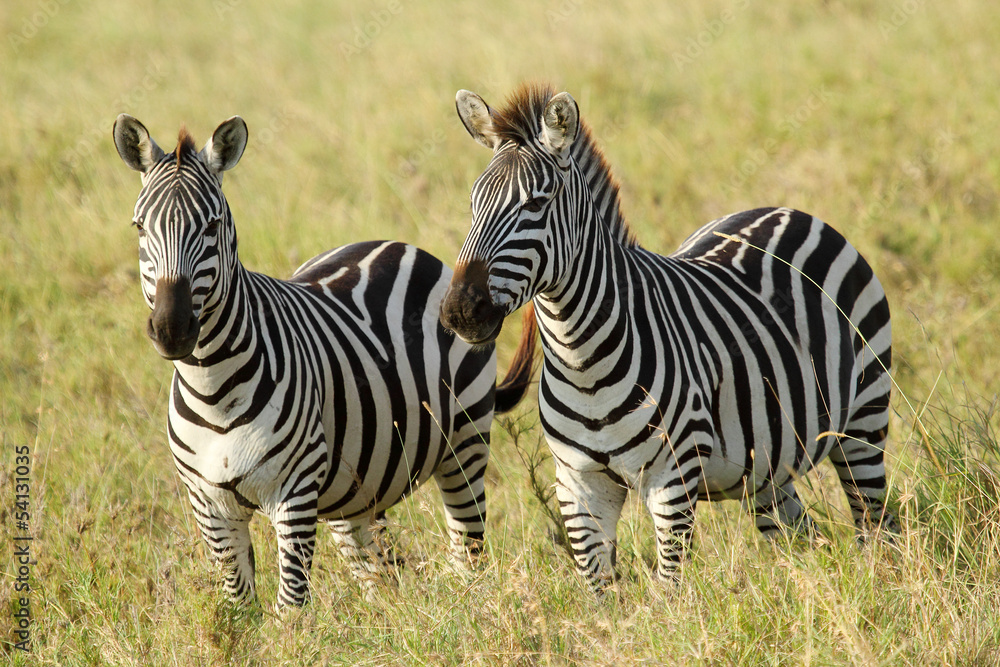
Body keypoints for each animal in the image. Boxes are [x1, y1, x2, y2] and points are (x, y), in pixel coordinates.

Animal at [112, 114, 536, 608]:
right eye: (139, 228)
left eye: (212, 226)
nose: (172, 328)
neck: (212, 385)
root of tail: (396, 245)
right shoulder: (211, 508)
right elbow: (240, 610)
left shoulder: (293, 494)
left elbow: (290, 608)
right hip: (356, 487)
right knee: (381, 577)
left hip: (464, 442)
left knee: (467, 549)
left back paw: (466, 606)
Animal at [439, 84, 898, 593]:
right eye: (473, 204)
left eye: (537, 203)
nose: (460, 311)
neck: (582, 363)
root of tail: (785, 210)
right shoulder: (579, 485)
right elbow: (599, 590)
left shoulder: (672, 479)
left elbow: (669, 589)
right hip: (764, 465)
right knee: (801, 539)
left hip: (863, 420)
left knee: (875, 523)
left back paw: (883, 586)